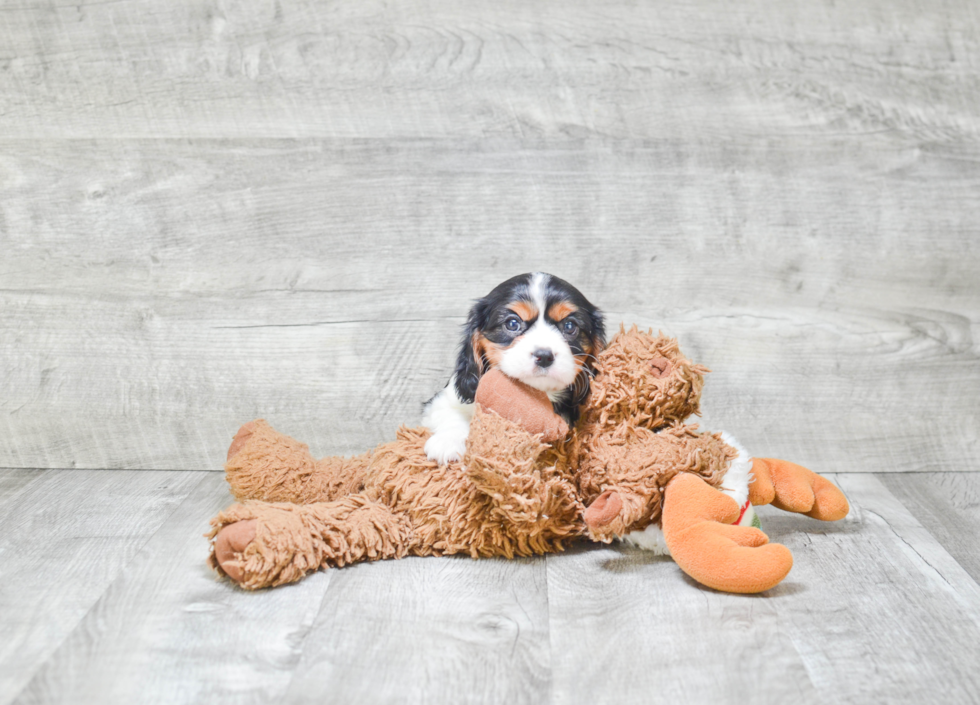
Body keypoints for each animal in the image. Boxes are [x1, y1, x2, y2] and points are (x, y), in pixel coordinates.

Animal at [424, 272, 604, 464]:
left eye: (570, 326)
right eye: (512, 323)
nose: (544, 356)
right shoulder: (443, 400)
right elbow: (451, 413)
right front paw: (448, 441)